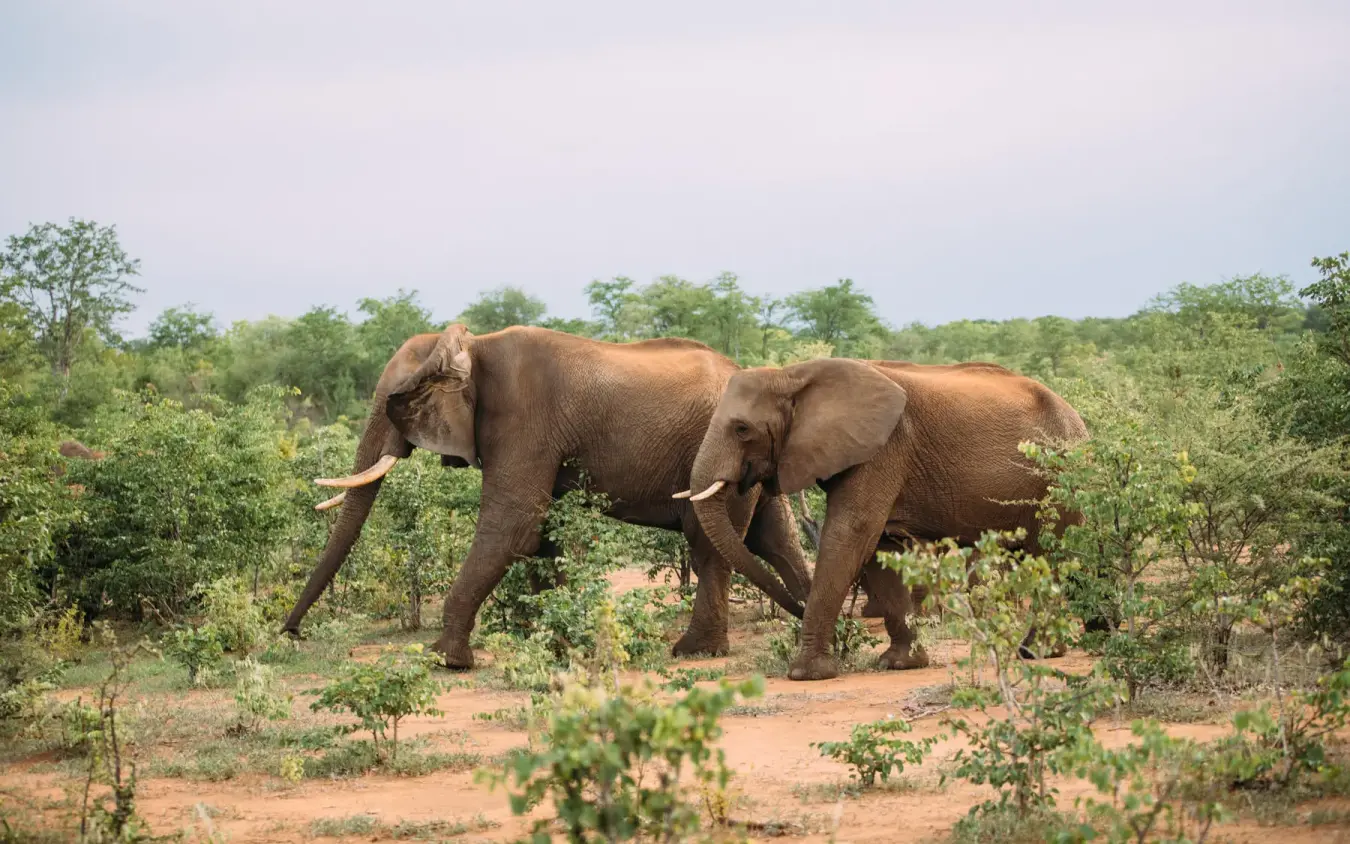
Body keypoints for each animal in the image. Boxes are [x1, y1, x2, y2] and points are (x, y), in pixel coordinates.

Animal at [281, 323, 813, 667]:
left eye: (397, 403)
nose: (290, 634)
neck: (473, 346)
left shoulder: (523, 420)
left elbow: (513, 526)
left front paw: (444, 660)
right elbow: (541, 534)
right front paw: (553, 644)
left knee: (710, 545)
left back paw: (695, 652)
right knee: (772, 536)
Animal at [679, 357, 1088, 681]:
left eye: (742, 429)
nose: (846, 630)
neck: (793, 376)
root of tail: (1078, 420)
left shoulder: (884, 450)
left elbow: (852, 534)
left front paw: (806, 674)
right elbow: (880, 549)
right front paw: (900, 664)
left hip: (1060, 477)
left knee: (1053, 557)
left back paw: (1038, 652)